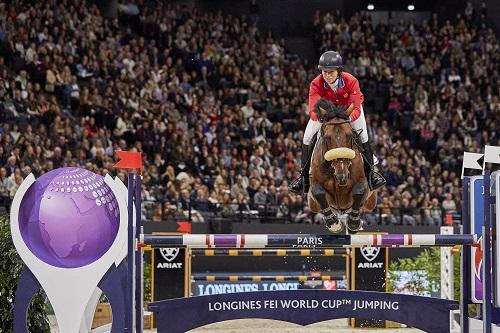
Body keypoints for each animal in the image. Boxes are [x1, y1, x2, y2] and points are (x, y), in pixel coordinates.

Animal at [306, 98, 376, 233]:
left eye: (350, 135)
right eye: (327, 137)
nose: (341, 176)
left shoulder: (363, 182)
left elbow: (359, 190)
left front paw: (354, 223)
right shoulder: (315, 184)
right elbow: (318, 192)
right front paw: (334, 224)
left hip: (371, 202)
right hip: (312, 205)